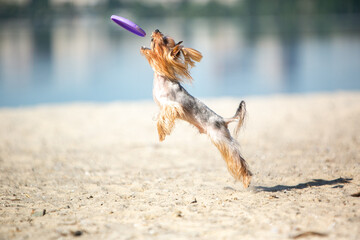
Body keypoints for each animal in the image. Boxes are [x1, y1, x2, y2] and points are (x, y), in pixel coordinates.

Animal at [140, 29, 250, 188]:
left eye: (164, 40)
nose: (156, 30)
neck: (162, 78)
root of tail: (223, 120)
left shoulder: (173, 105)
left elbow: (163, 117)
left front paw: (161, 131)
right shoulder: (165, 106)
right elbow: (160, 115)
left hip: (221, 139)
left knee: (237, 159)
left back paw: (246, 179)